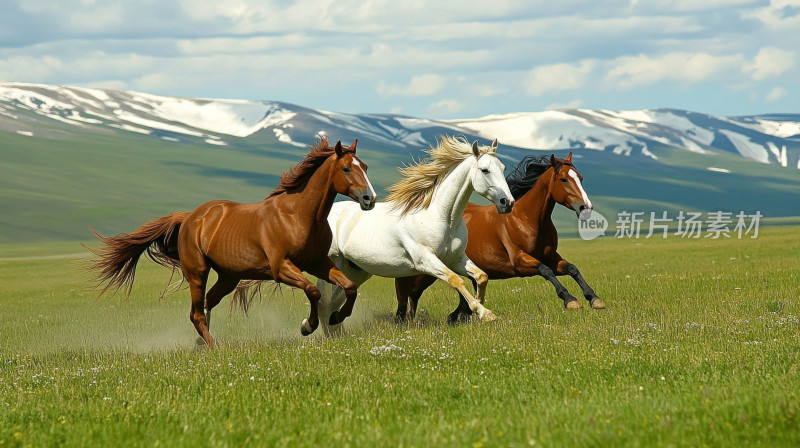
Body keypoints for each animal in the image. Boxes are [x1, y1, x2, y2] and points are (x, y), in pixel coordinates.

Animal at [86, 137, 376, 346]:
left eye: (365, 167)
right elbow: (313, 291)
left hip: (229, 277)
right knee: (196, 312)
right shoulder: (281, 268)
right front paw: (307, 326)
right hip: (198, 272)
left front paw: (338, 316)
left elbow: (349, 286)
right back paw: (213, 347)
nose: (369, 199)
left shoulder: (317, 262)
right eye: (346, 168)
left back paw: (200, 344)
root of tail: (191, 217)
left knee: (206, 305)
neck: (298, 215)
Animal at [312, 135, 512, 334]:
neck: (440, 217)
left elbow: (481, 276)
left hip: (356, 270)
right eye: (485, 170)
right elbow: (455, 280)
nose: (507, 202)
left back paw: (336, 330)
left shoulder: (455, 259)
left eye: (503, 168)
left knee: (336, 300)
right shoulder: (425, 261)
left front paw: (476, 310)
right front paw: (486, 314)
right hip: (333, 265)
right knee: (325, 302)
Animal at [394, 152, 608, 320]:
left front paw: (594, 299)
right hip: (421, 272)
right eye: (564, 179)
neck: (526, 220)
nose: (586, 208)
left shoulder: (551, 257)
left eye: (580, 177)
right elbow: (545, 270)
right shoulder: (519, 262)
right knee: (406, 296)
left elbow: (572, 268)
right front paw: (570, 300)